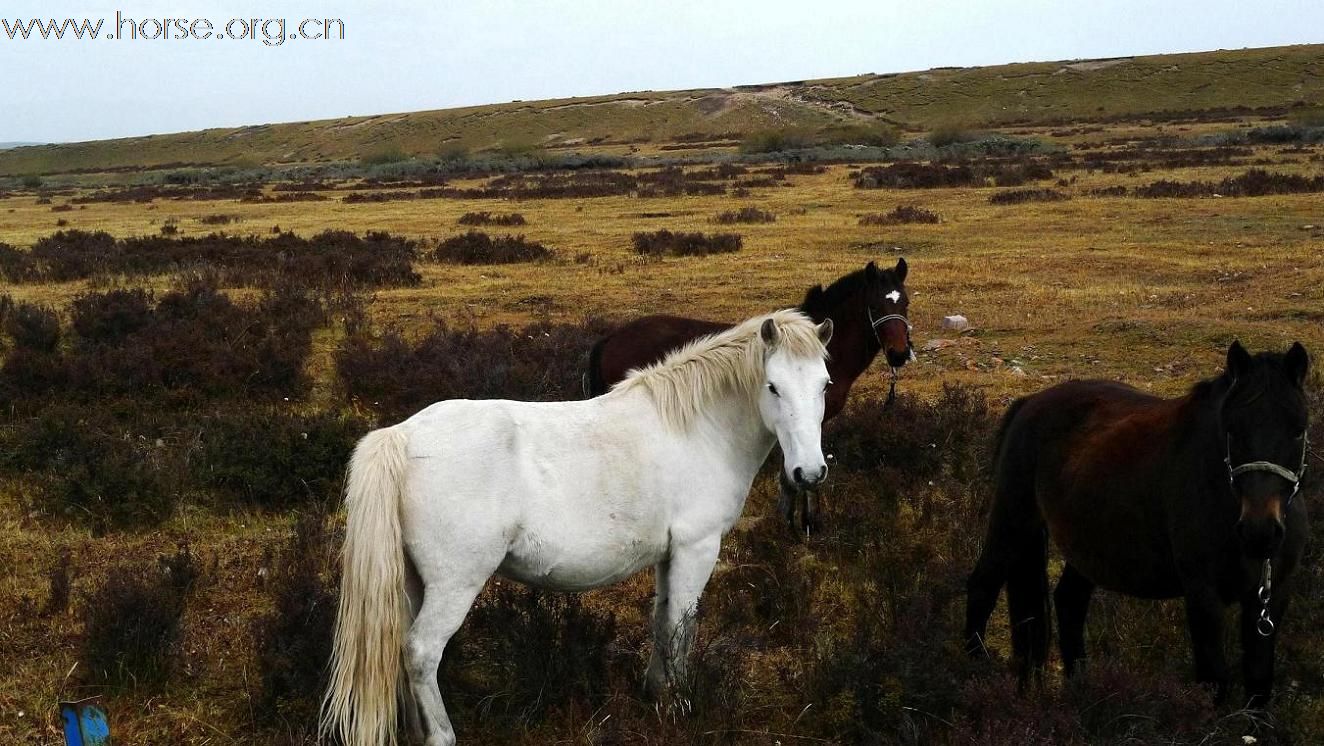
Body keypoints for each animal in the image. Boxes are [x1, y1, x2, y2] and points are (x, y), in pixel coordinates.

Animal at [323, 310, 826, 746]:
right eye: (773, 387)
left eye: (824, 384)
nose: (809, 473)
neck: (695, 427)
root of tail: (402, 435)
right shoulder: (696, 549)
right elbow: (681, 629)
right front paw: (680, 706)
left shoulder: (669, 556)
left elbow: (661, 622)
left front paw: (655, 692)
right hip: (454, 585)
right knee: (422, 652)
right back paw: (441, 735)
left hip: (411, 583)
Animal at [587, 259, 910, 527]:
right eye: (875, 307)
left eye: (905, 303)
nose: (899, 354)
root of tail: (610, 338)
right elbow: (791, 477)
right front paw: (796, 524)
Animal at [963, 341, 1313, 710]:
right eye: (1233, 429)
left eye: (1298, 430)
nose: (1260, 532)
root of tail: (1029, 403)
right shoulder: (1203, 595)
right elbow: (1213, 678)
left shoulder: (1271, 599)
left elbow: (1259, 680)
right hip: (1012, 522)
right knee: (983, 586)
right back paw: (973, 673)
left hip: (1087, 548)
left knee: (1069, 602)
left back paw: (1082, 691)